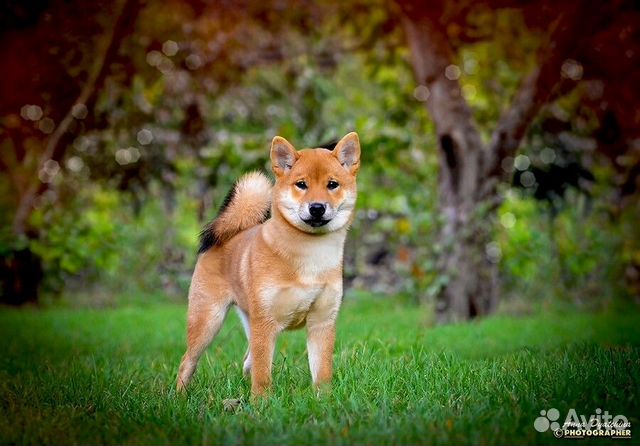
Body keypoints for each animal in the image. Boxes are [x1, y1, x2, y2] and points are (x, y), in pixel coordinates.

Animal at [176, 132, 360, 394]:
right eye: (301, 184)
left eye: (332, 184)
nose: (317, 207)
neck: (310, 256)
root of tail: (228, 235)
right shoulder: (265, 323)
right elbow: (263, 375)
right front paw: (261, 401)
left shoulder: (322, 322)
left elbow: (322, 372)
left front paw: (324, 399)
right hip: (208, 320)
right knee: (188, 362)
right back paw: (179, 395)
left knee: (247, 361)